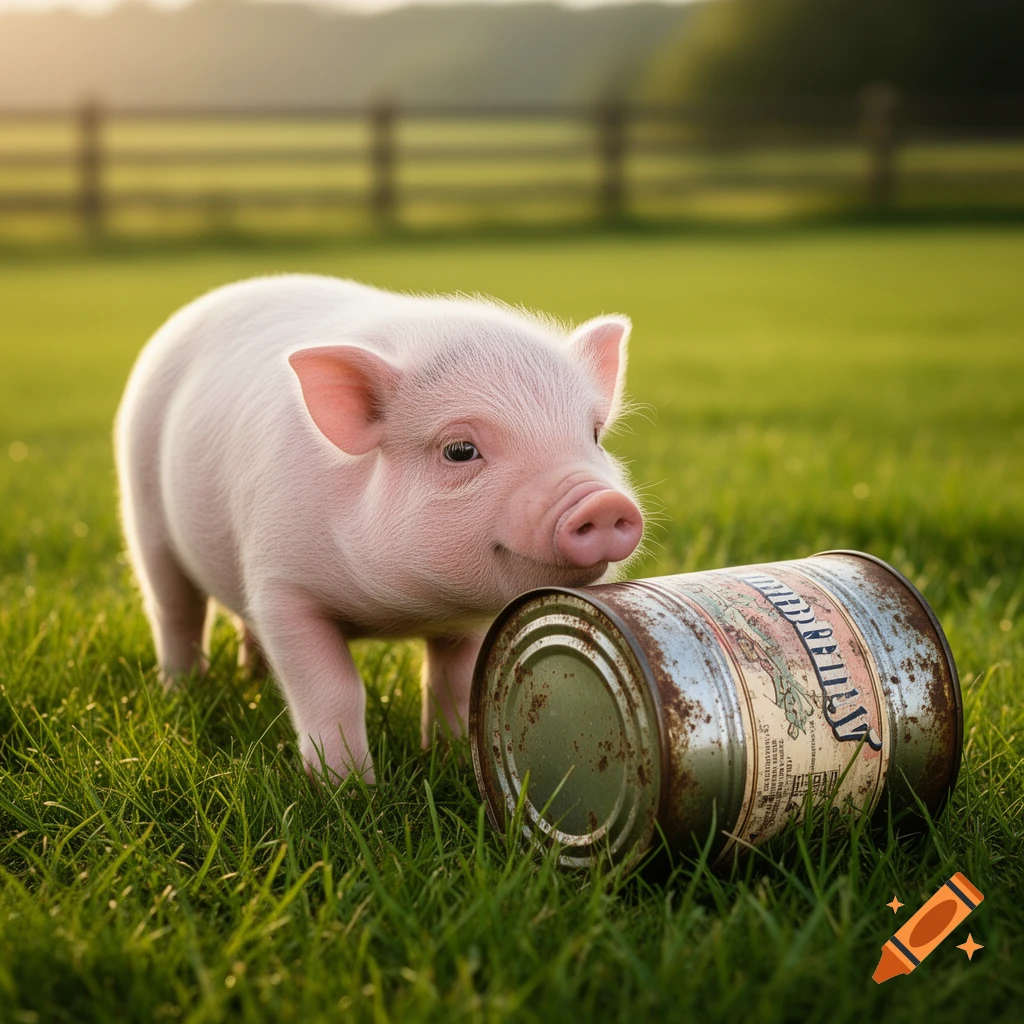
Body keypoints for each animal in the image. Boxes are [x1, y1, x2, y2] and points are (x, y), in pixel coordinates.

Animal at [114, 275, 643, 783]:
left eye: (594, 435)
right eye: (459, 450)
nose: (603, 502)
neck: (398, 611)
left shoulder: (470, 618)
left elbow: (454, 685)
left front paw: (452, 763)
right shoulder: (281, 587)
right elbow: (335, 689)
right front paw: (347, 789)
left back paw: (254, 679)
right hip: (145, 515)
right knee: (175, 612)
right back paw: (180, 690)